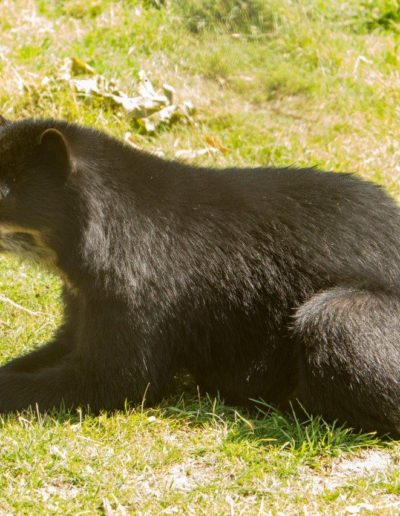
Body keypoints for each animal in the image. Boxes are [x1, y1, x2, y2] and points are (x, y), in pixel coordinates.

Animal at [0, 115, 400, 434]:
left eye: (4, 192)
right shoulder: (84, 294)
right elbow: (67, 344)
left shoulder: (140, 288)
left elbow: (116, 376)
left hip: (356, 314)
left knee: (333, 320)